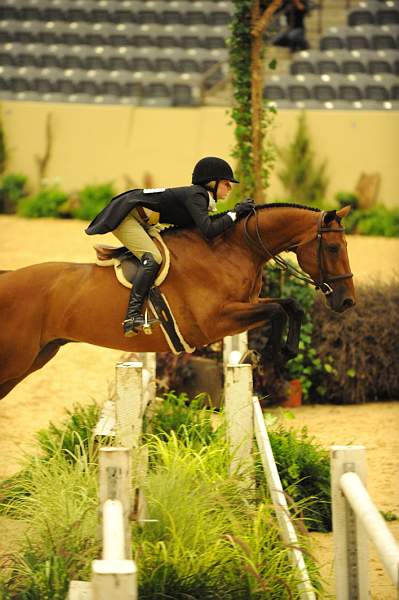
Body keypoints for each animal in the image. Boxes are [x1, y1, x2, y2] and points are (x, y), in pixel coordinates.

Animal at [0, 204, 356, 400]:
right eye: (334, 248)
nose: (348, 301)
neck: (231, 248)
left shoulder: (244, 305)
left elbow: (288, 305)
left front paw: (285, 350)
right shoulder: (215, 321)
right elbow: (276, 310)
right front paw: (265, 356)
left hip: (33, 360)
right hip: (16, 361)